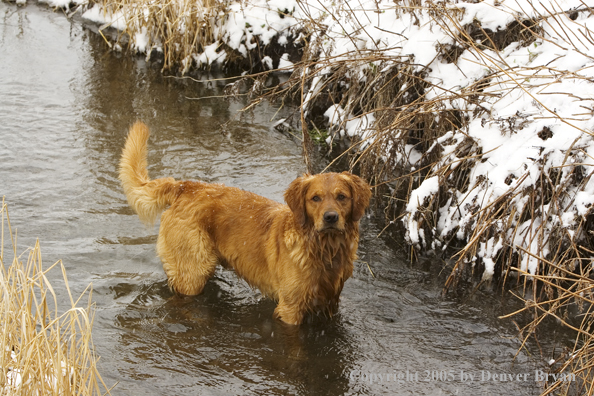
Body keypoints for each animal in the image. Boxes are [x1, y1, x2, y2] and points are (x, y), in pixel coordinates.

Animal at [117, 121, 368, 324]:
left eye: (342, 197)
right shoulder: (291, 307)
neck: (324, 250)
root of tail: (184, 186)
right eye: (315, 198)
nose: (330, 217)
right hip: (193, 273)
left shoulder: (330, 303)